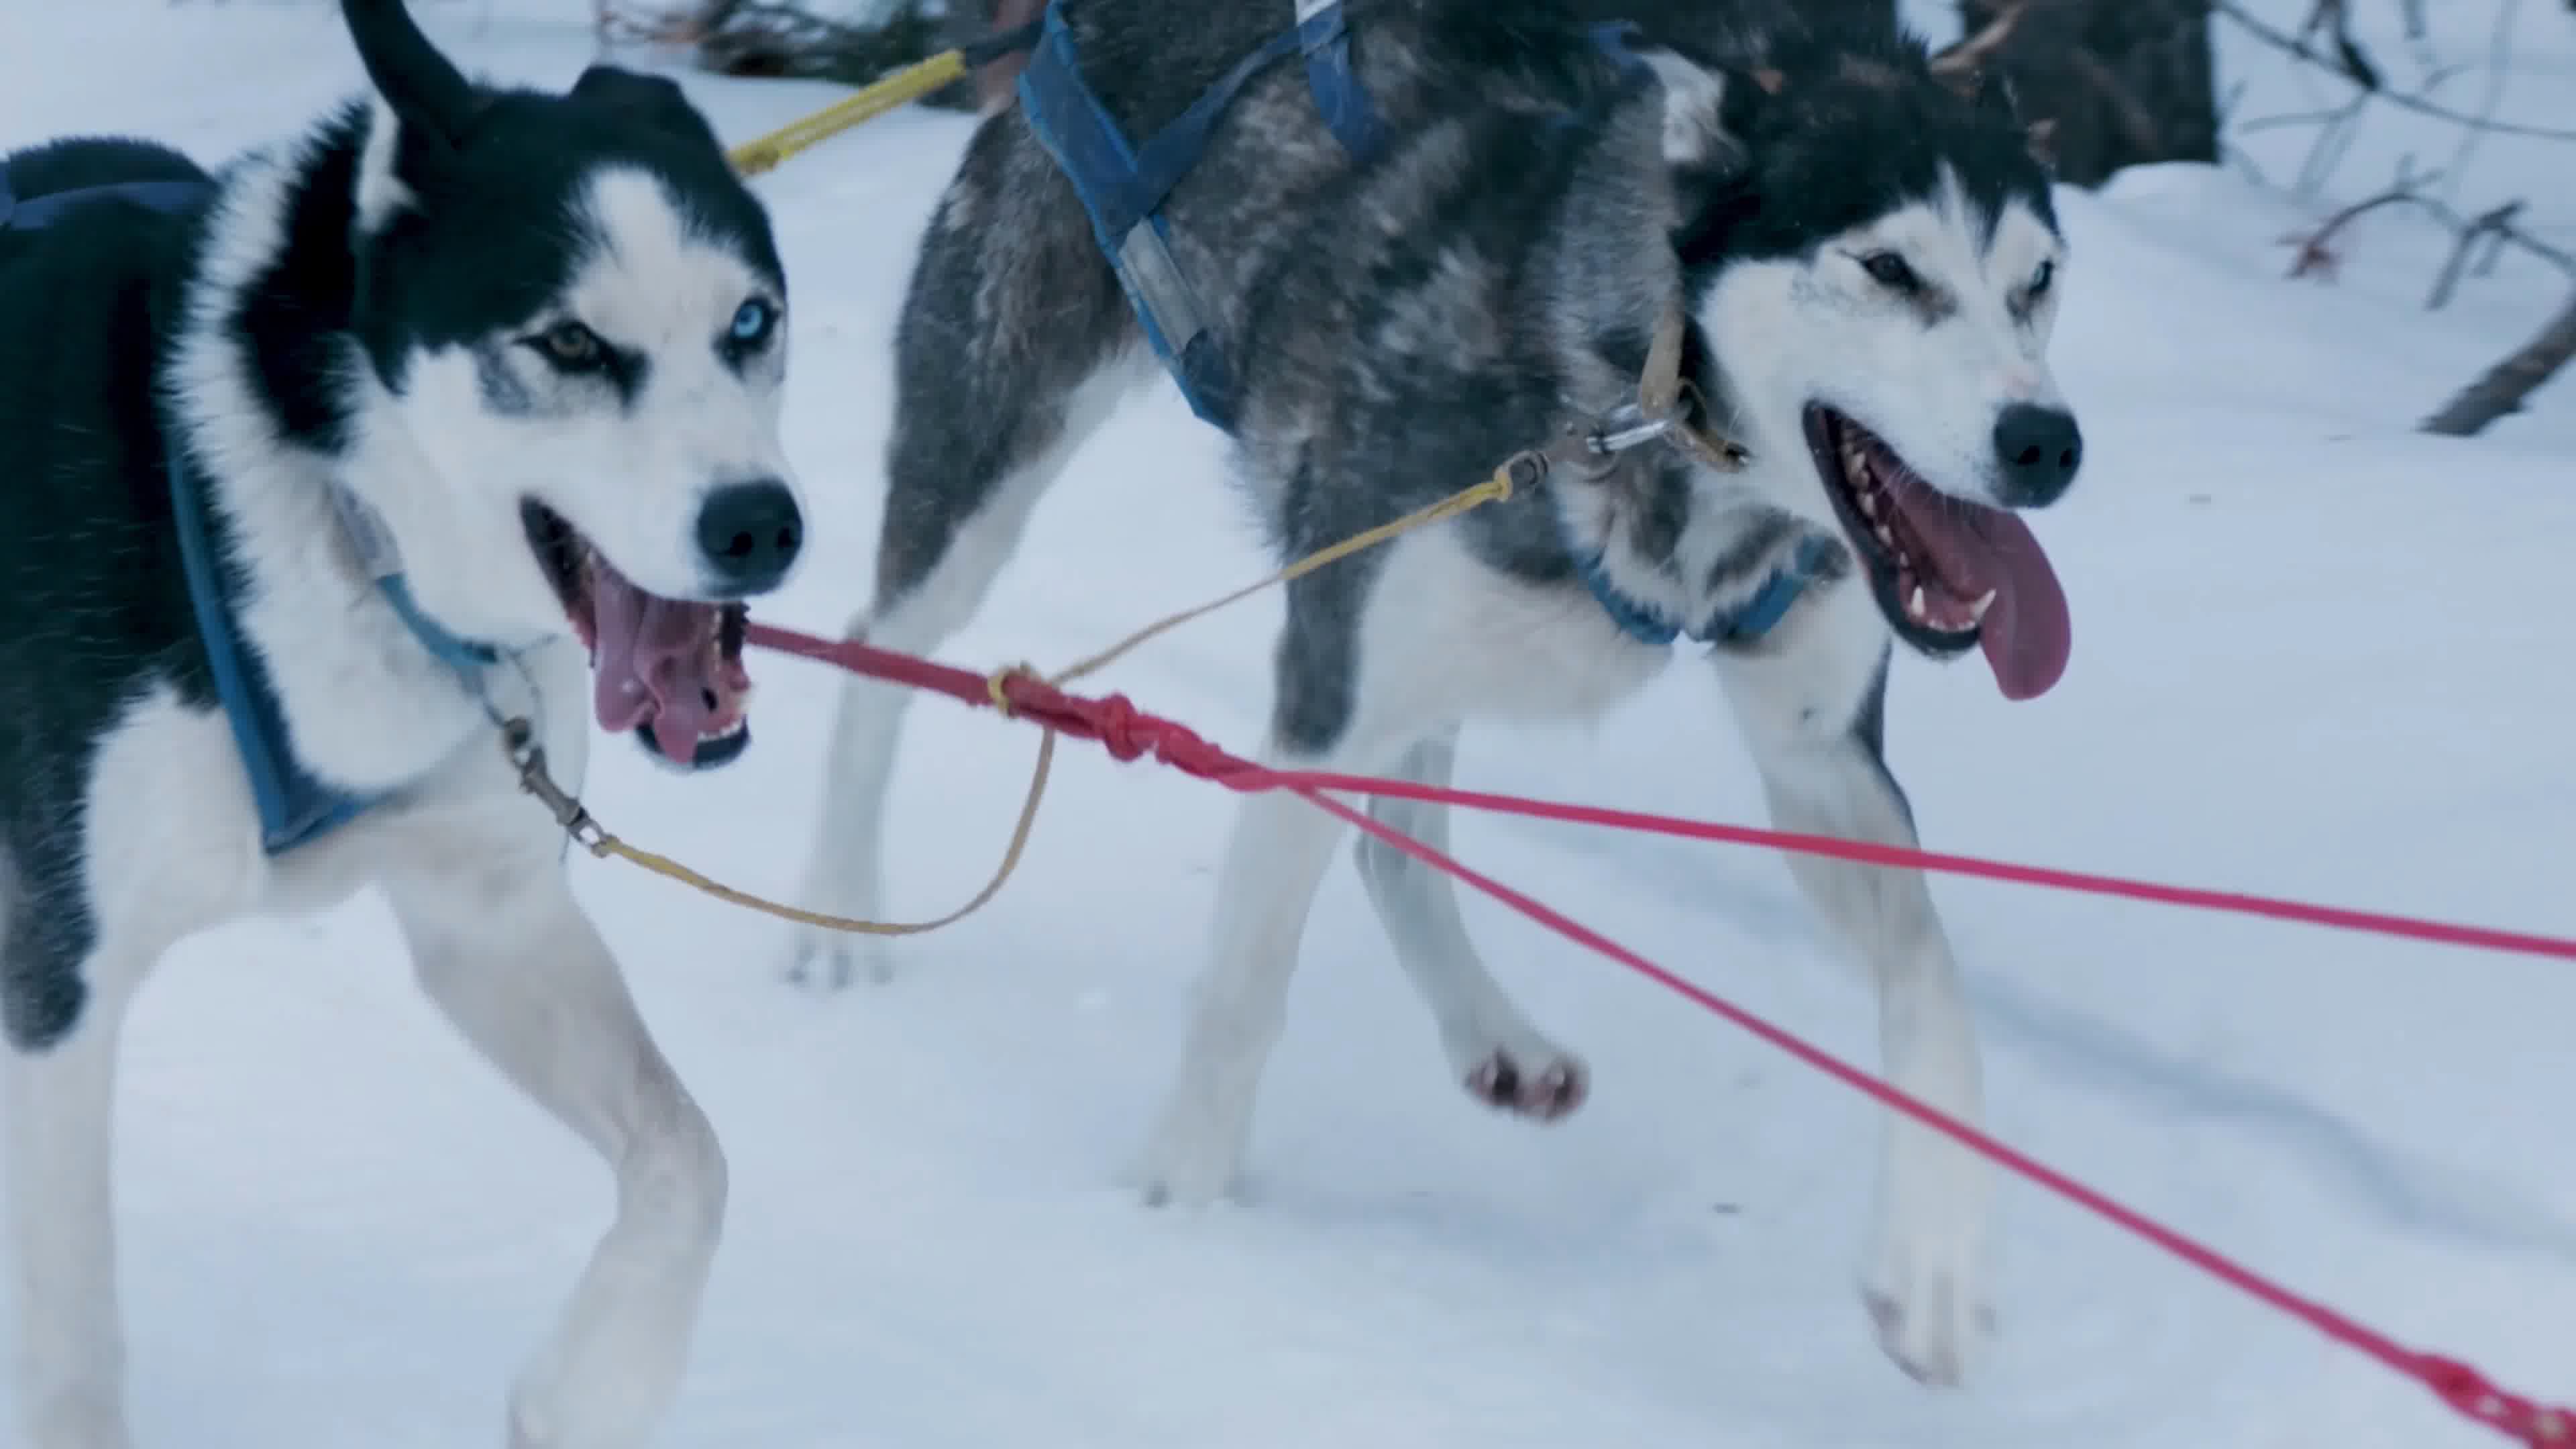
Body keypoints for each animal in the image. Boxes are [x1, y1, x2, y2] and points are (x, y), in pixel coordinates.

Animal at [0, 3, 804, 1444]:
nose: (761, 525)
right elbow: (73, 1358)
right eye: (572, 344)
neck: (330, 514)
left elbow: (690, 1158)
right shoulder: (62, 978)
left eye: (751, 320)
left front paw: (592, 1386)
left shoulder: (487, 918)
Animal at [783, 0, 2071, 1382]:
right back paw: (835, 913)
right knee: (875, 654)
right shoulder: (1326, 693)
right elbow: (1242, 989)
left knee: (1394, 829)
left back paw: (1493, 1033)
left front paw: (1935, 1257)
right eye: (1889, 269)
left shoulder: (1817, 754)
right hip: (996, 469)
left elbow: (1930, 980)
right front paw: (1178, 1219)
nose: (2048, 443)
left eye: (2038, 280)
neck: (1644, 406)